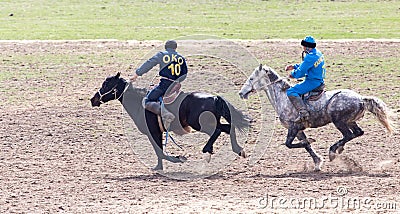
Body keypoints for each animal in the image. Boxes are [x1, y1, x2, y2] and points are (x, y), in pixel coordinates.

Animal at [90, 73, 250, 171]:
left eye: (106, 85)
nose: (93, 99)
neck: (140, 103)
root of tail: (215, 97)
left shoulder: (153, 132)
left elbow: (160, 152)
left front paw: (178, 159)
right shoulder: (157, 133)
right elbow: (159, 152)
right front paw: (159, 167)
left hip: (201, 124)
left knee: (218, 130)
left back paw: (207, 150)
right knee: (228, 128)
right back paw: (237, 149)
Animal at [238, 64, 394, 171]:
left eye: (251, 78)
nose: (241, 93)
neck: (283, 97)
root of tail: (361, 98)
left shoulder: (293, 127)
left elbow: (289, 144)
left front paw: (312, 142)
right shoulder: (299, 130)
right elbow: (306, 146)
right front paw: (317, 162)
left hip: (339, 121)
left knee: (349, 135)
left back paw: (333, 151)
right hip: (350, 121)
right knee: (358, 133)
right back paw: (339, 149)